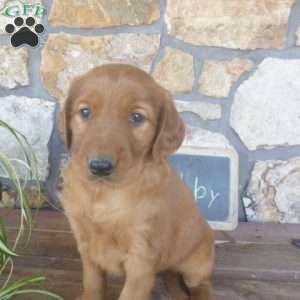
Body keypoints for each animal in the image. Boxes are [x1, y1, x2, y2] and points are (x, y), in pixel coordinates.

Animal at [59, 63, 214, 300]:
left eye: (136, 117)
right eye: (85, 112)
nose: (100, 166)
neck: (104, 194)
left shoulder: (141, 259)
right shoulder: (85, 244)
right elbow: (93, 284)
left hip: (198, 259)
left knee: (201, 283)